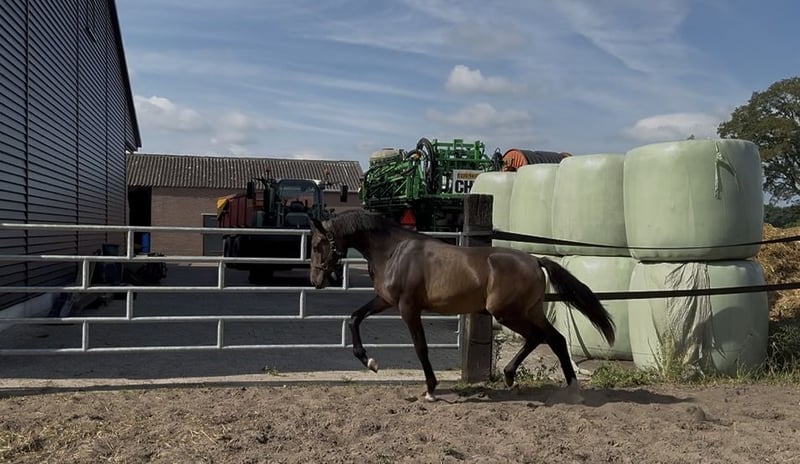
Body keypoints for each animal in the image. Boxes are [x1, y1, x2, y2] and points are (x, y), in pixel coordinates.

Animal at [308, 209, 615, 402]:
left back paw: (518, 377)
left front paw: (431, 390)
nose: (316, 280)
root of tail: (535, 261)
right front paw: (370, 362)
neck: (395, 252)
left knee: (540, 337)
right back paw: (564, 388)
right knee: (556, 339)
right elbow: (355, 318)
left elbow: (421, 347)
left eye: (318, 244)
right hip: (530, 311)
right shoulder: (385, 301)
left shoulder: (408, 308)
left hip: (507, 313)